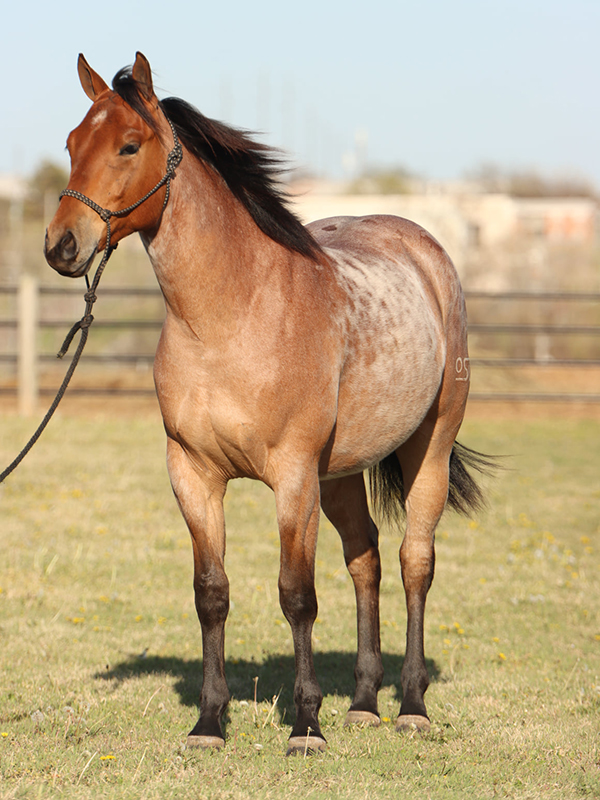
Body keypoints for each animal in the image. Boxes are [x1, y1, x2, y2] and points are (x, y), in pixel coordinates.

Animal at [44, 51, 490, 756]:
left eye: (128, 145)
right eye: (69, 144)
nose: (62, 245)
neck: (232, 316)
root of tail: (426, 249)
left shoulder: (291, 477)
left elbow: (296, 595)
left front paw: (305, 727)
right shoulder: (193, 474)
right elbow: (211, 593)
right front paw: (209, 722)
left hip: (429, 450)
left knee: (413, 563)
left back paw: (412, 707)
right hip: (339, 475)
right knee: (365, 561)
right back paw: (363, 704)